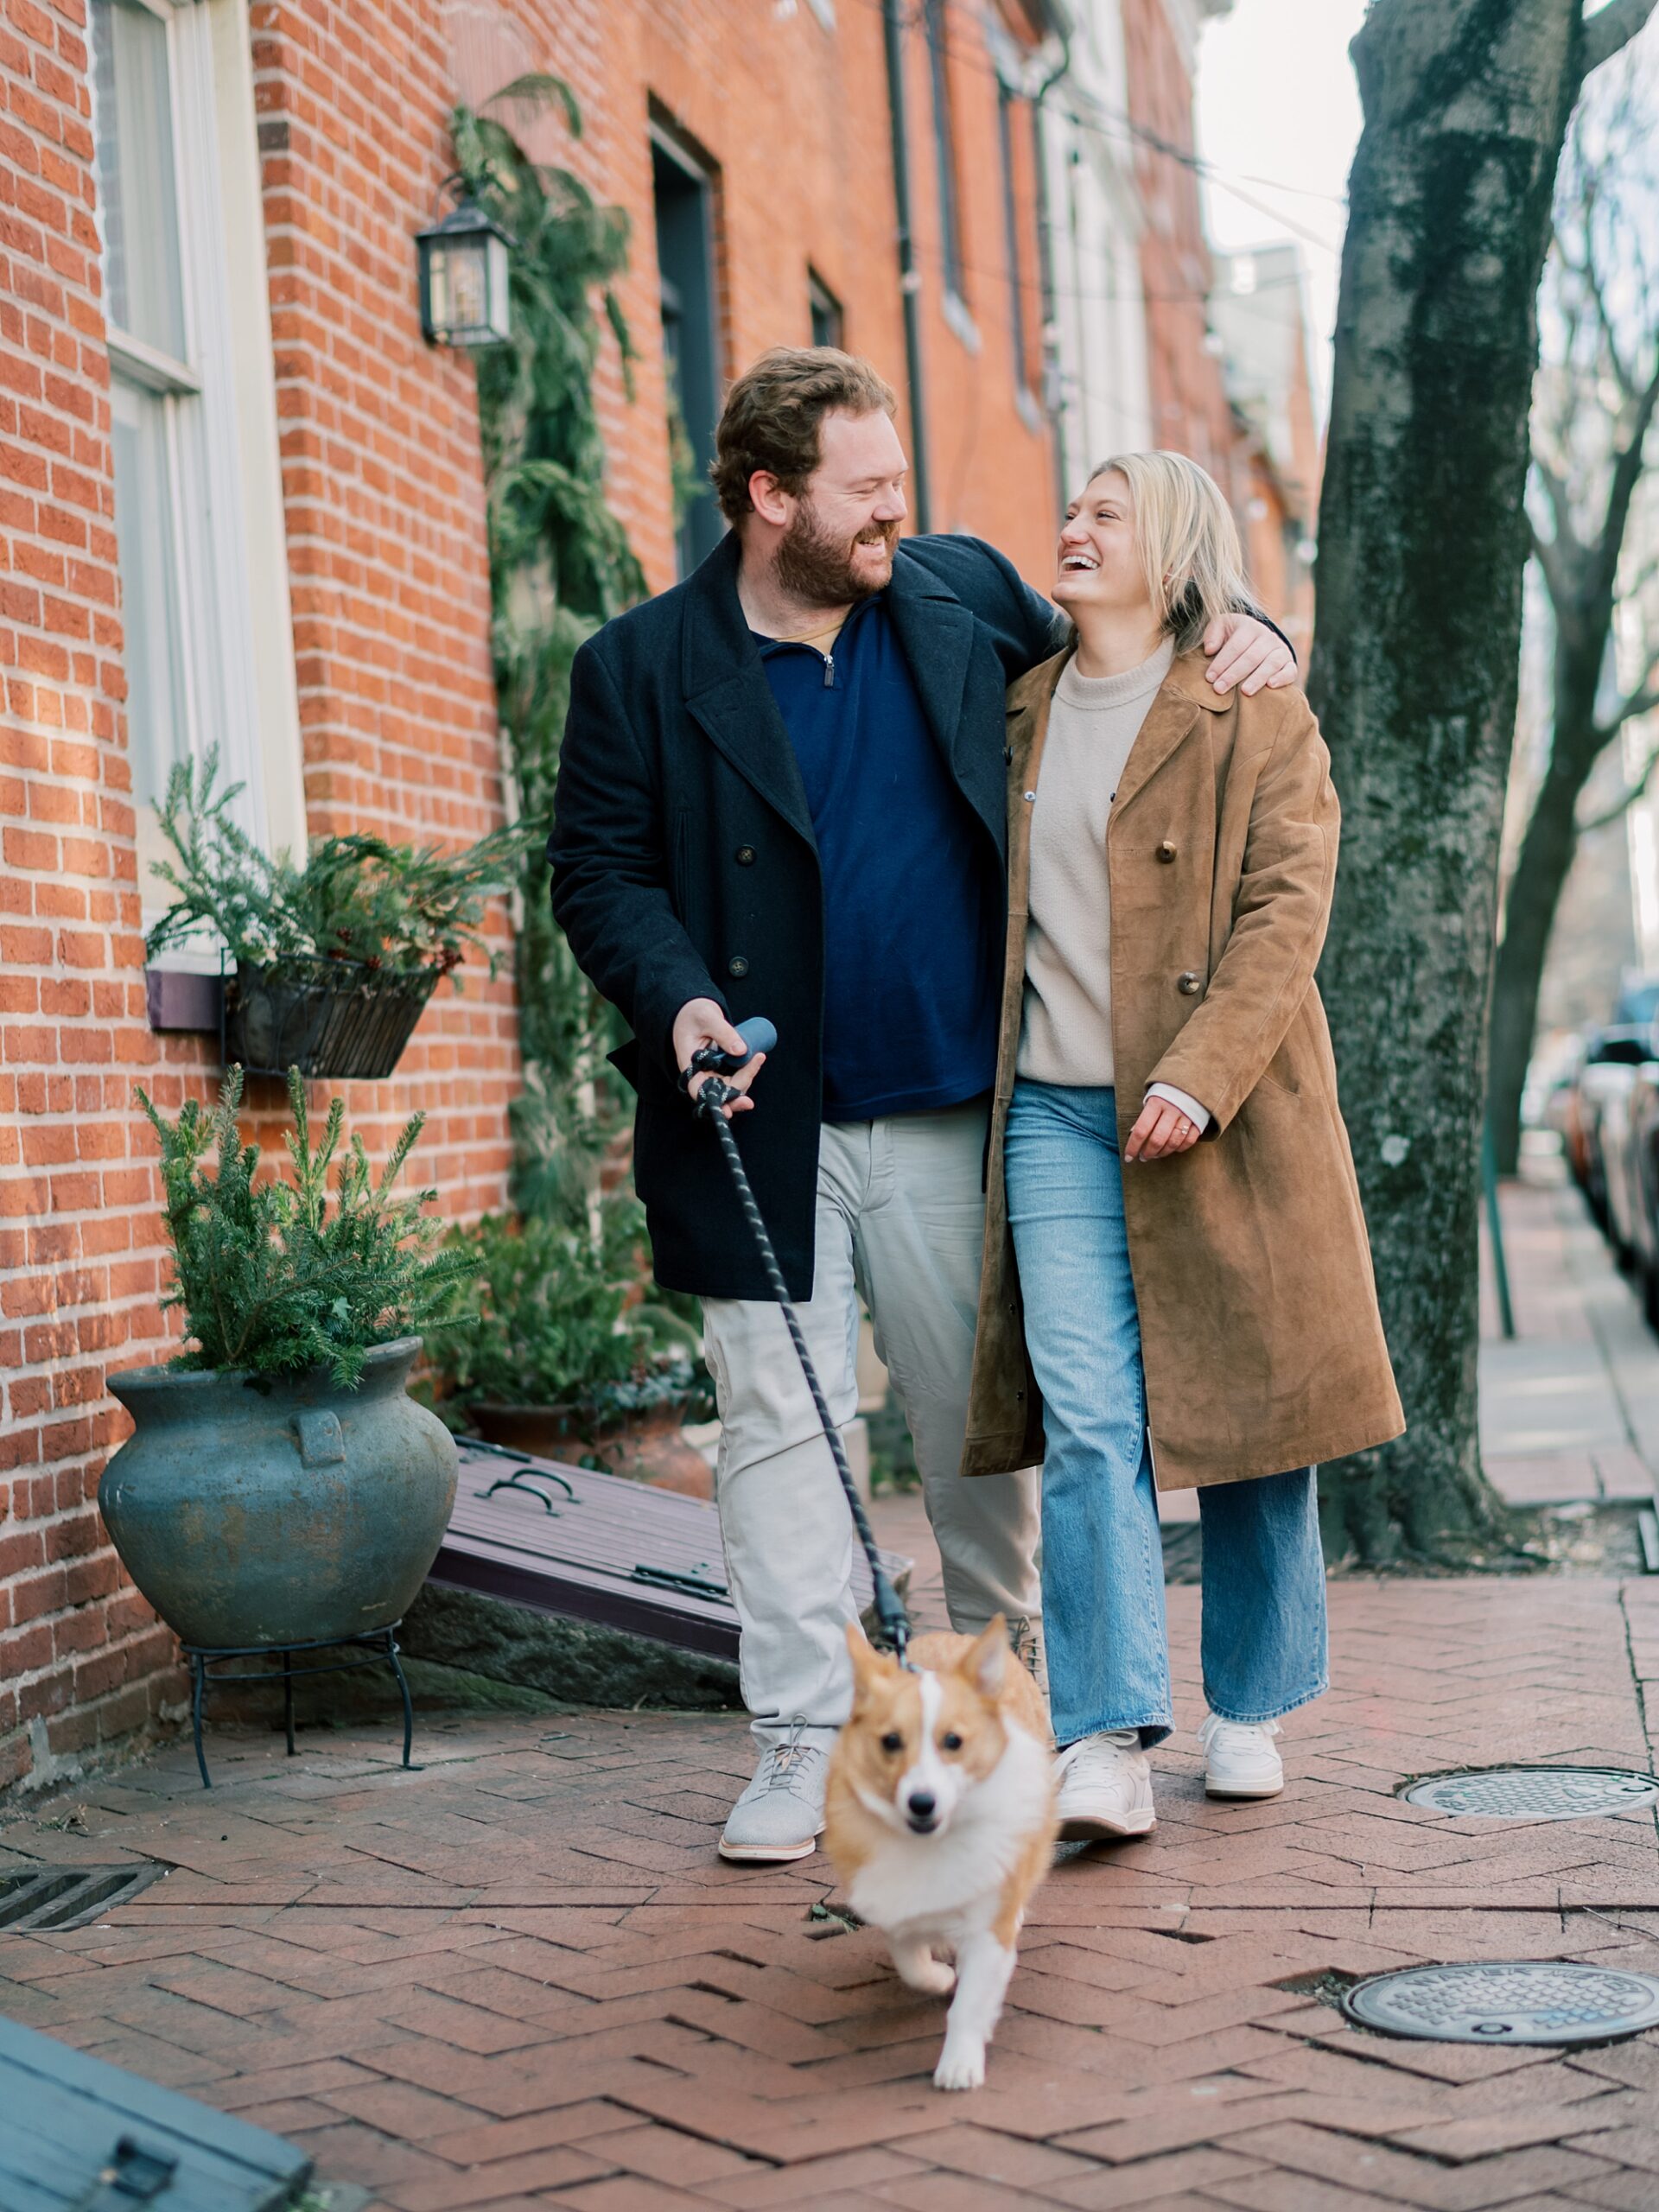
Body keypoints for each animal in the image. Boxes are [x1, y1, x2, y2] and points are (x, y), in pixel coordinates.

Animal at [827, 1618, 1057, 2079]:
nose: (922, 1802)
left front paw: (959, 2063)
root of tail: (959, 1637)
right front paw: (938, 1976)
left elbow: (971, 2001)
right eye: (890, 1741)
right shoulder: (891, 1909)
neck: (932, 1843)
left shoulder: (988, 1924)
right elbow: (912, 1965)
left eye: (954, 1742)